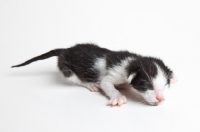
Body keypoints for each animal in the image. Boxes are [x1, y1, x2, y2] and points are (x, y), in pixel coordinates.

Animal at [11, 44, 177, 106]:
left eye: (165, 86)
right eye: (147, 85)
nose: (160, 99)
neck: (132, 61)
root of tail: (65, 50)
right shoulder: (113, 73)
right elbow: (106, 84)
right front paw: (117, 96)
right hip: (66, 67)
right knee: (74, 78)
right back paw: (91, 84)